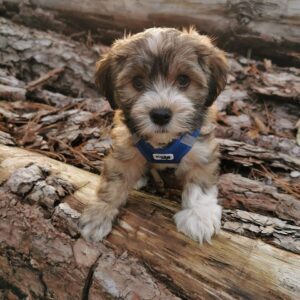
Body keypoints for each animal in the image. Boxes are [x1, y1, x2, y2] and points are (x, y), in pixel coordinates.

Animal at [79, 27, 227, 244]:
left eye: (183, 80)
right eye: (137, 82)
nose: (160, 115)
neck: (163, 144)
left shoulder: (202, 151)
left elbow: (200, 183)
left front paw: (199, 216)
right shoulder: (125, 147)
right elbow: (114, 180)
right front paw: (100, 211)